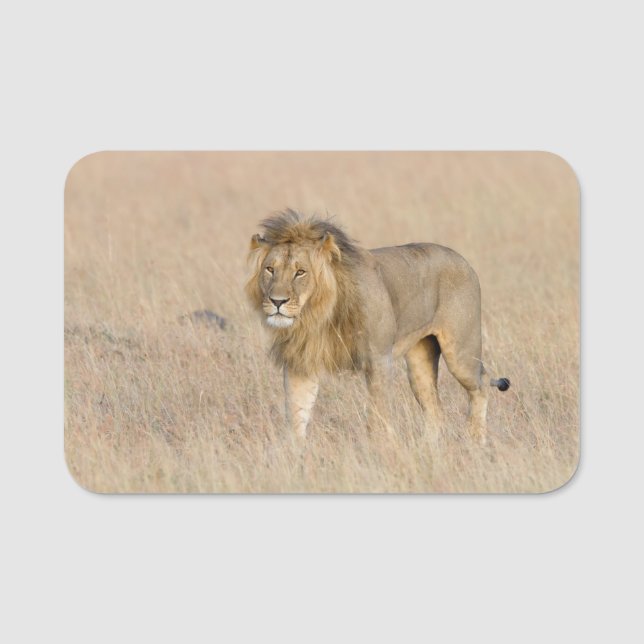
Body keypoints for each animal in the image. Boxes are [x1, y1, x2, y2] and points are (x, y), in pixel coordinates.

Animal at [245, 209, 509, 444]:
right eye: (270, 269)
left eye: (300, 272)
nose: (277, 301)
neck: (317, 314)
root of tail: (462, 259)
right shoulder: (300, 362)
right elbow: (296, 414)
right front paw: (294, 454)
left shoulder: (379, 359)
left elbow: (378, 415)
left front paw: (381, 449)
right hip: (420, 362)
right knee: (435, 410)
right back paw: (428, 448)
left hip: (461, 353)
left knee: (481, 384)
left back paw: (476, 440)